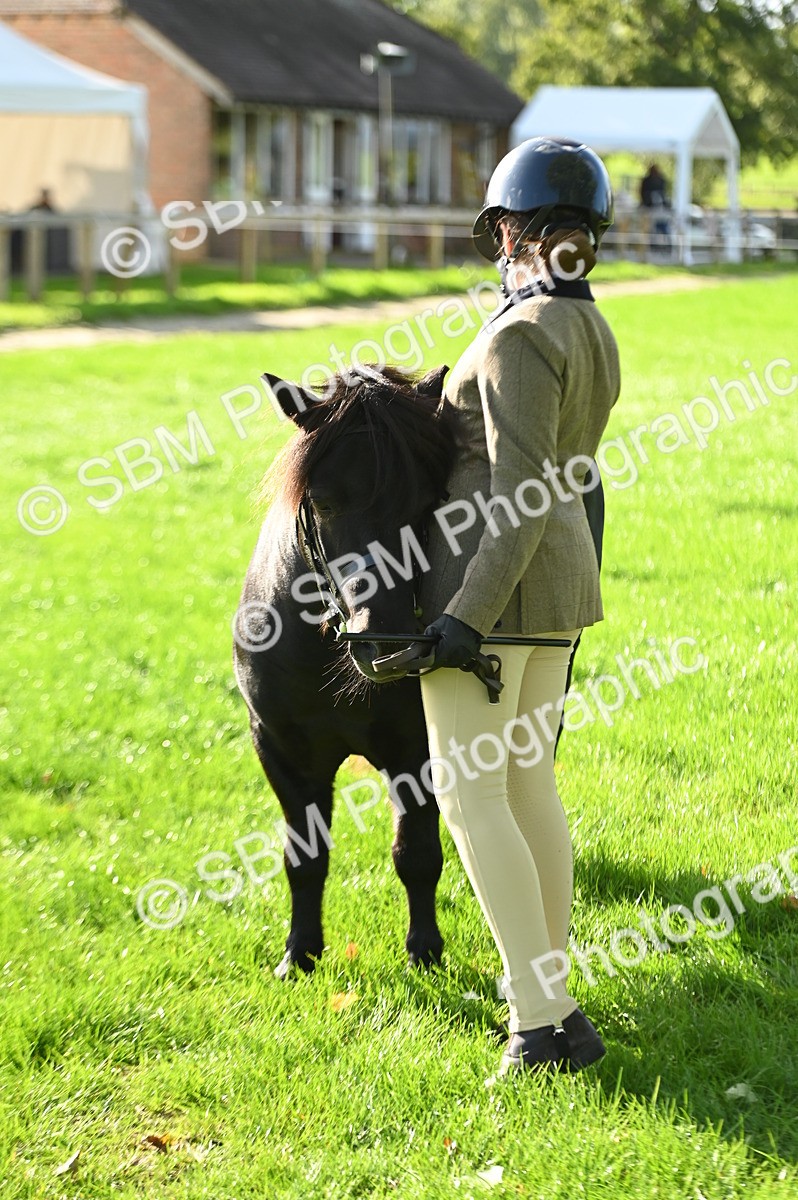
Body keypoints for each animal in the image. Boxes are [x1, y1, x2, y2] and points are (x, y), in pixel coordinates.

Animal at [233, 364, 460, 978]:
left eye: (429, 501)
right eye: (322, 501)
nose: (387, 643)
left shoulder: (416, 750)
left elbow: (417, 854)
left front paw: (424, 950)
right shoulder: (282, 751)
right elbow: (304, 858)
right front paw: (300, 953)